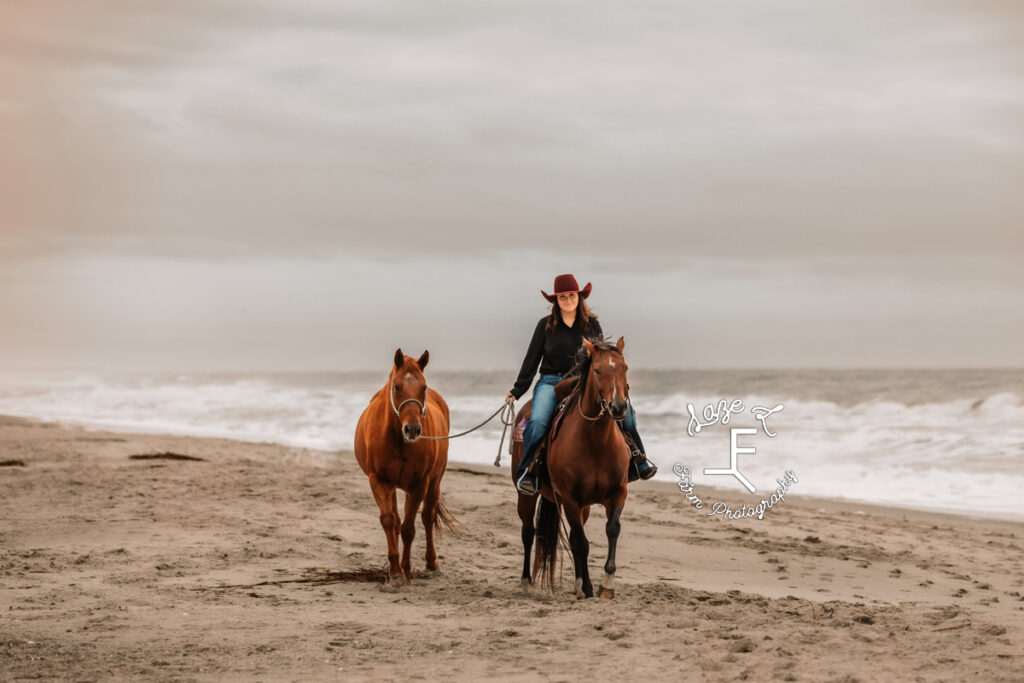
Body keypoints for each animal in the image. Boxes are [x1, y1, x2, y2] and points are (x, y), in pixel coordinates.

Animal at [356, 350, 460, 589]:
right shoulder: (379, 481)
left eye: (423, 387)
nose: (412, 429)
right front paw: (395, 572)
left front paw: (406, 570)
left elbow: (409, 528)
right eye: (396, 387)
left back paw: (431, 563)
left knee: (428, 517)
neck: (398, 439)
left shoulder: (419, 484)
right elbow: (389, 521)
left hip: (435, 482)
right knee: (395, 520)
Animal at [512, 335, 630, 598]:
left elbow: (612, 529)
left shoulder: (618, 493)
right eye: (597, 370)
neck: (596, 442)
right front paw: (586, 586)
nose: (618, 407)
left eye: (624, 368)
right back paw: (525, 582)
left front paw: (605, 584)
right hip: (527, 495)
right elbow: (581, 542)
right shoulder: (569, 499)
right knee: (528, 532)